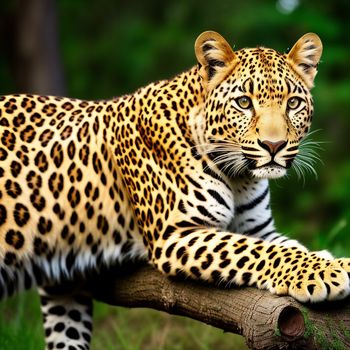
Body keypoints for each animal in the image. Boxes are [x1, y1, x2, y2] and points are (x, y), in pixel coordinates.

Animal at [0, 31, 350, 348]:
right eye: (243, 103)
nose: (274, 146)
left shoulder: (260, 229)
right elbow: (258, 252)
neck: (239, 177)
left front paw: (327, 260)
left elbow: (289, 247)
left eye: (293, 103)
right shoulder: (175, 234)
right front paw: (328, 271)